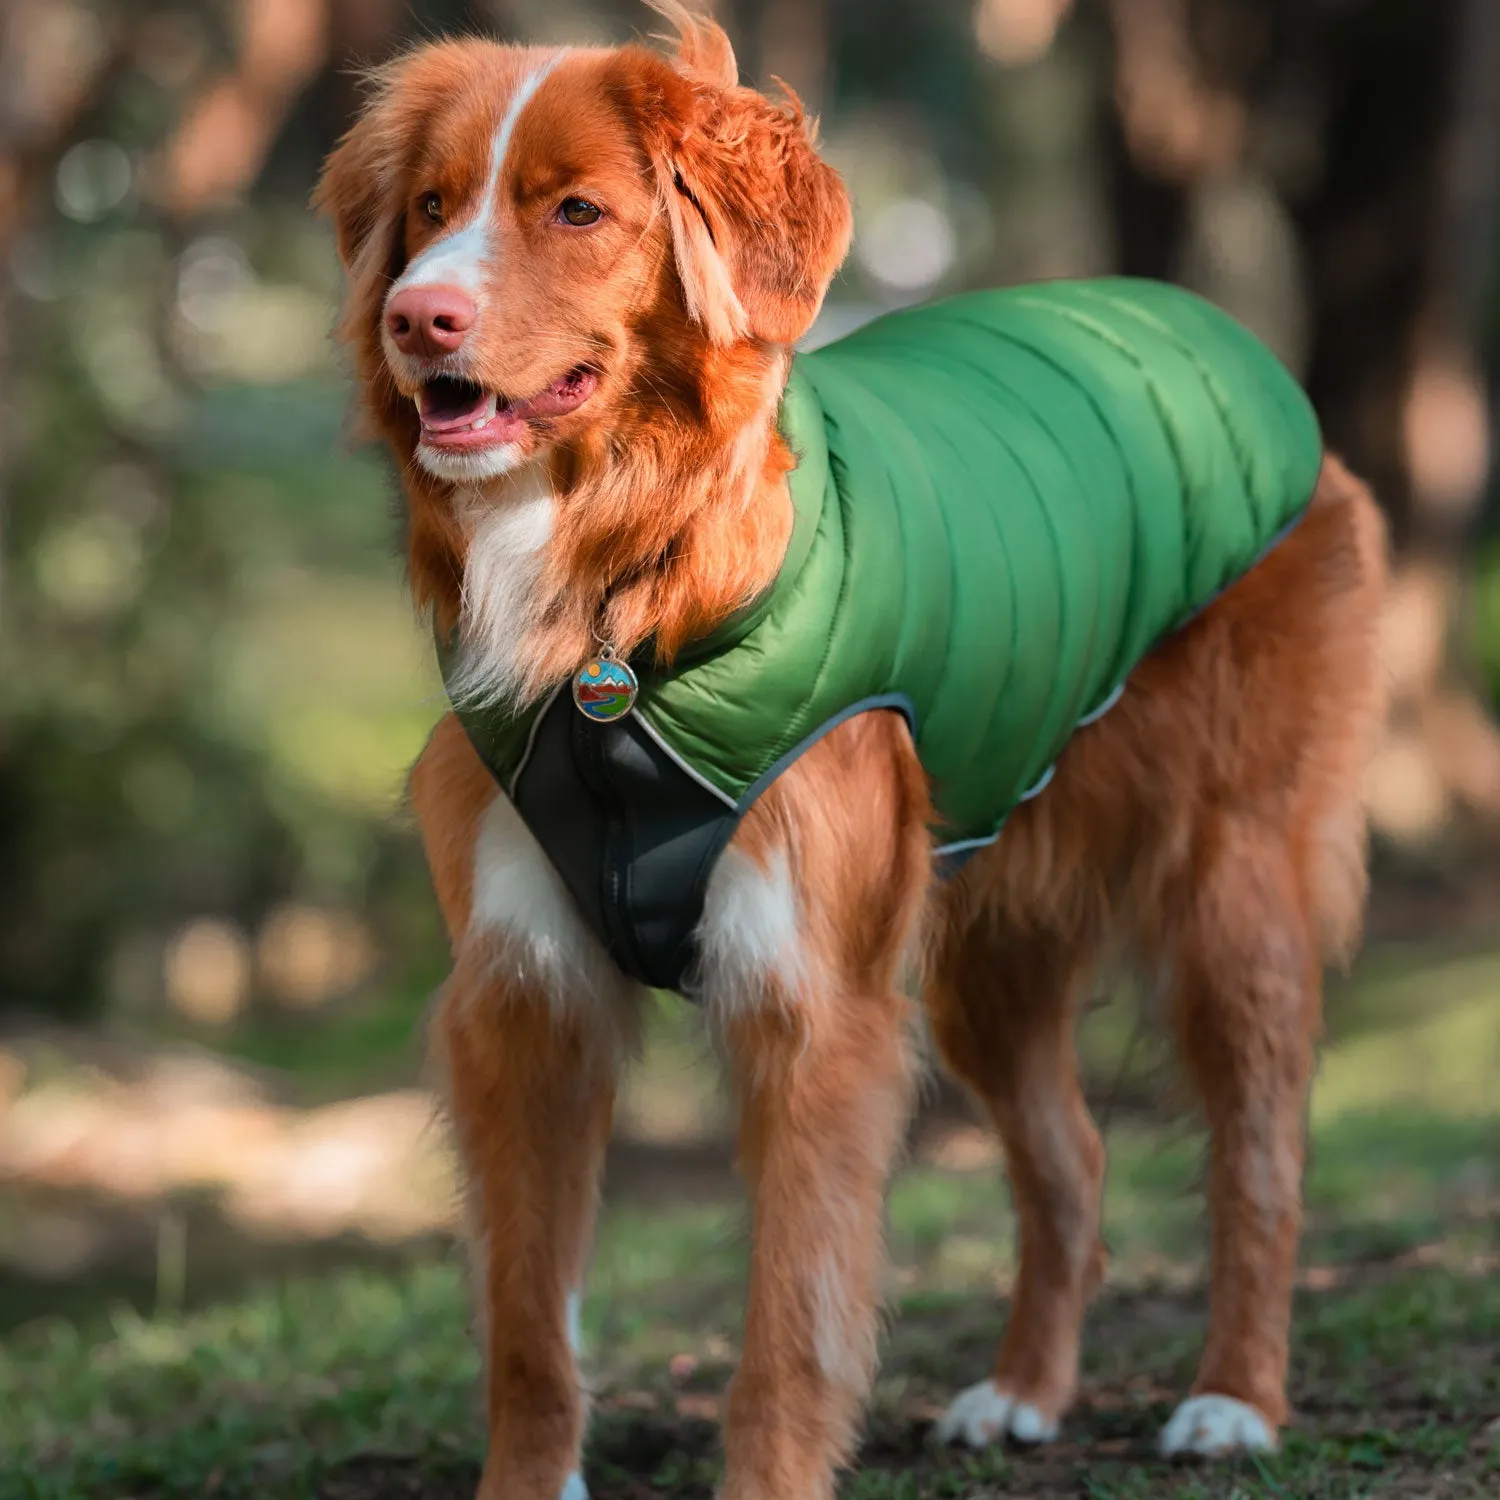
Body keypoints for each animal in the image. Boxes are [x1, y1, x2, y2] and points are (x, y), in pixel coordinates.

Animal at [313, 5, 1380, 1494]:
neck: (622, 612)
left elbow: (790, 1326)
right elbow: (527, 1327)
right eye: (427, 208)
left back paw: (1235, 1399)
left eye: (576, 209)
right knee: (1072, 1156)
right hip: (987, 940)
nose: (419, 317)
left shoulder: (811, 1000)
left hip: (1233, 892)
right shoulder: (523, 998)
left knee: (1265, 1157)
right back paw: (1024, 1389)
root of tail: (1215, 327)